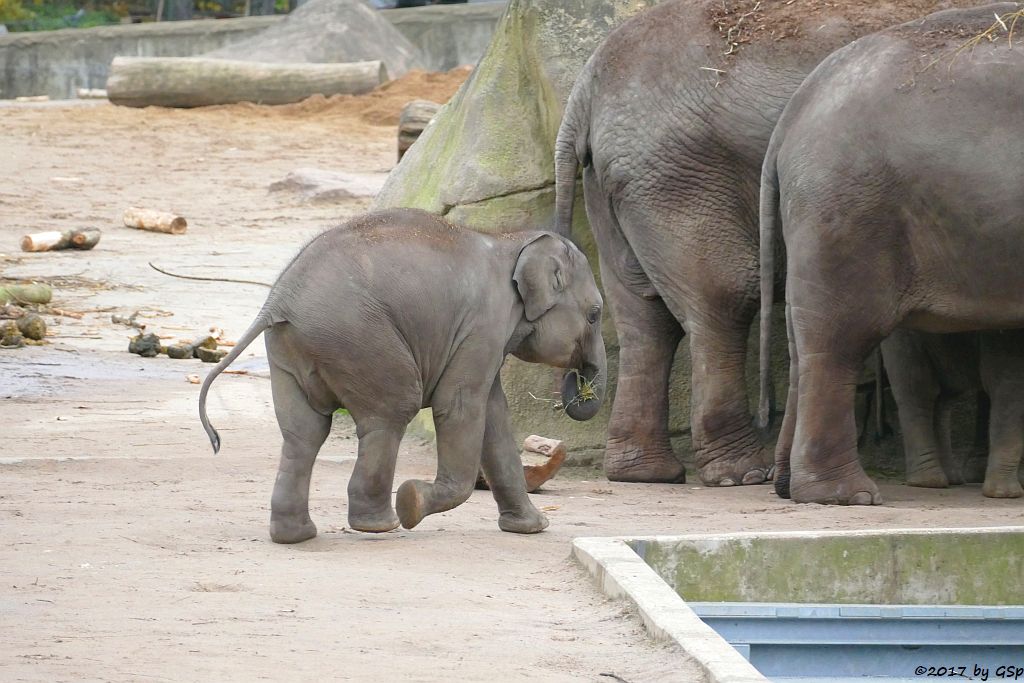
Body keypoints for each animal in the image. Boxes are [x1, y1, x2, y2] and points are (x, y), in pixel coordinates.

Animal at [195, 209, 602, 544]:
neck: (512, 240)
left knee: (304, 432)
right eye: (596, 314)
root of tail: (277, 300)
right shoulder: (483, 325)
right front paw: (413, 502)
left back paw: (296, 536)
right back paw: (383, 524)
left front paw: (533, 528)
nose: (579, 382)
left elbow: (494, 417)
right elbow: (459, 406)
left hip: (290, 351)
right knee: (392, 411)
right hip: (357, 338)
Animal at [552, 0, 958, 485]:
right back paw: (742, 473)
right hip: (680, 178)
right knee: (724, 296)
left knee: (643, 312)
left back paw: (647, 472)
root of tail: (586, 88)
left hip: (617, 182)